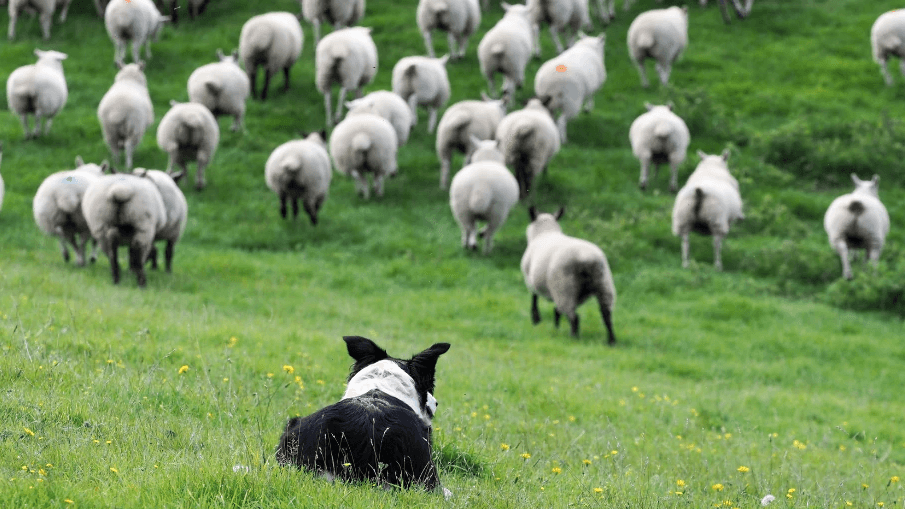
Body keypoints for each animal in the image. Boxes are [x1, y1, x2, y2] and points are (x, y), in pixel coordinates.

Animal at [520, 206, 617, 343]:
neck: (546, 232)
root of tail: (588, 260)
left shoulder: (530, 280)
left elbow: (534, 299)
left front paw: (536, 319)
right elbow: (555, 309)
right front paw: (556, 327)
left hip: (565, 288)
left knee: (574, 317)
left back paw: (574, 338)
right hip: (604, 284)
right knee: (606, 315)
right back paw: (611, 341)